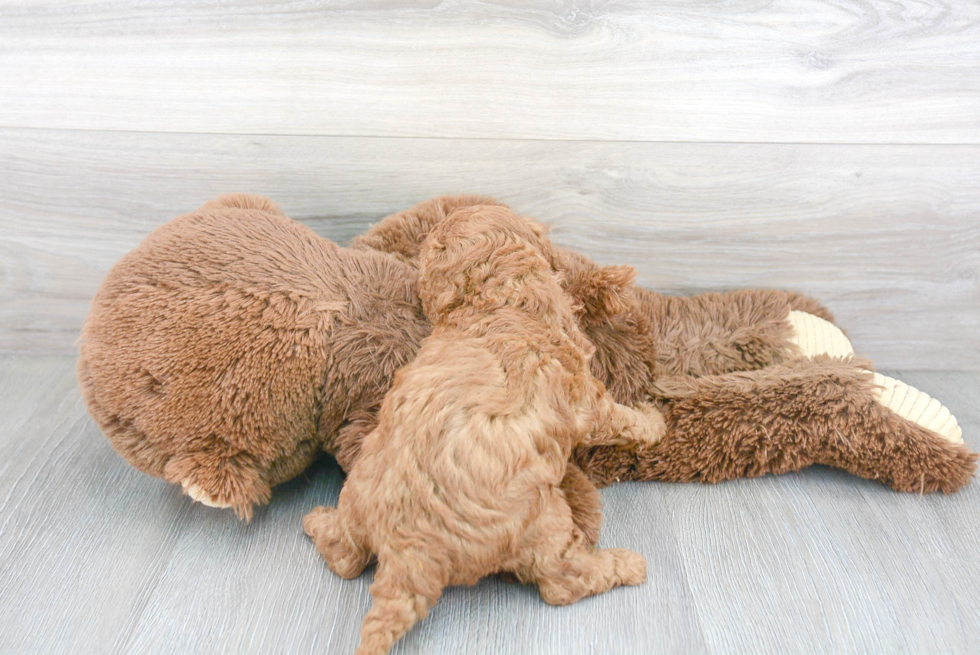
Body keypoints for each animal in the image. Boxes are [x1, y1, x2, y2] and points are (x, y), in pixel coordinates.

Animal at [302, 206, 664, 655]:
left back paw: (317, 522)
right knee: (561, 581)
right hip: (542, 522)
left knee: (346, 556)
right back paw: (626, 565)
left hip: (357, 498)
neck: (498, 301)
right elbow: (619, 418)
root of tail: (406, 554)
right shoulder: (584, 398)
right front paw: (654, 421)